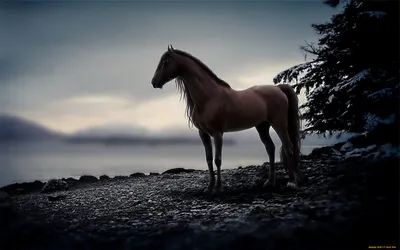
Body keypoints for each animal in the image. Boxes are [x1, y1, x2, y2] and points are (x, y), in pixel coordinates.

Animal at [152, 44, 302, 193]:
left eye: (165, 63)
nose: (154, 82)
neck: (209, 98)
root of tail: (279, 88)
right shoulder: (203, 133)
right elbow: (208, 159)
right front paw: (209, 187)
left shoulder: (218, 133)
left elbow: (217, 159)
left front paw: (218, 188)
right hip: (262, 126)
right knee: (270, 148)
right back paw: (269, 182)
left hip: (279, 124)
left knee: (288, 147)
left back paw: (292, 182)